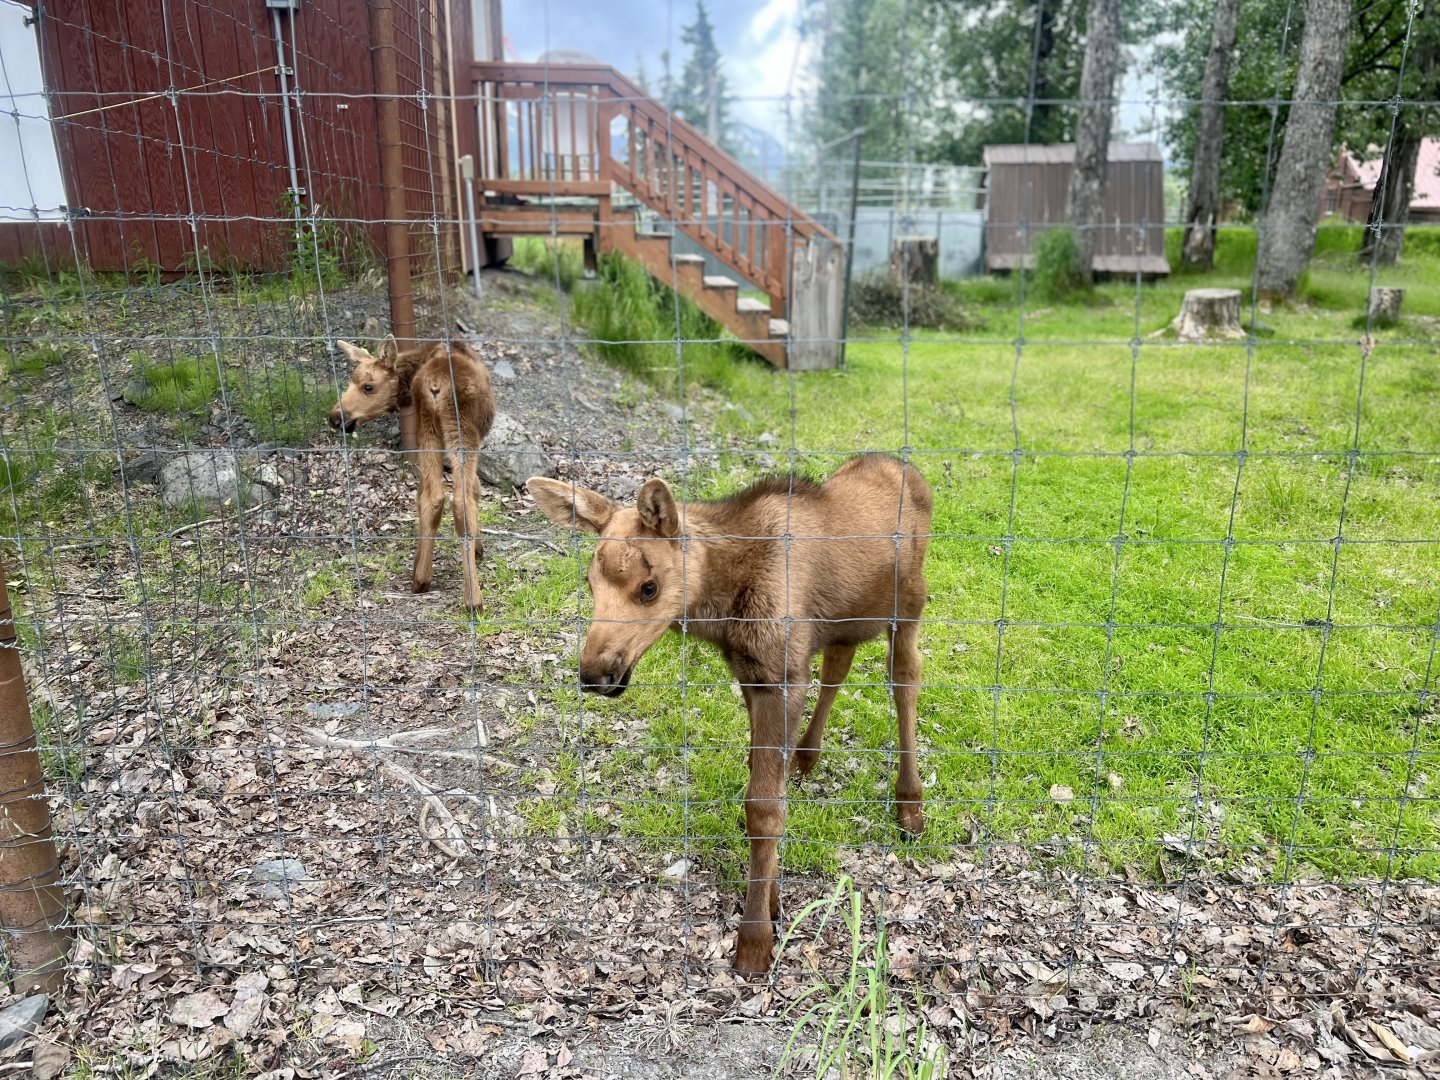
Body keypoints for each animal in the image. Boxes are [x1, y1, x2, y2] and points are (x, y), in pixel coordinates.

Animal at [328, 335, 495, 612]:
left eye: (368, 386)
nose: (335, 418)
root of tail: (435, 384)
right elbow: (476, 489)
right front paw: (479, 549)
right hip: (461, 431)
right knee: (460, 500)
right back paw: (473, 599)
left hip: (427, 428)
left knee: (433, 496)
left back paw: (420, 577)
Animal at [527, 454, 931, 973]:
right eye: (590, 583)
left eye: (649, 588)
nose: (595, 673)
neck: (721, 609)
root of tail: (907, 469)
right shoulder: (751, 675)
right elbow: (762, 778)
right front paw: (773, 899)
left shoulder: (781, 676)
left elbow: (763, 808)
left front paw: (756, 939)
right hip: (846, 621)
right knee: (839, 666)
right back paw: (807, 756)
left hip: (910, 604)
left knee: (905, 679)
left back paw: (910, 805)